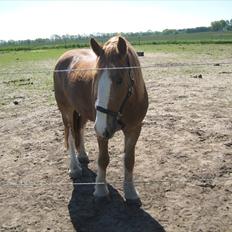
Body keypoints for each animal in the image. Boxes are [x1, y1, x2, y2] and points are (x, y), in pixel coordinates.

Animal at [54, 35, 149, 206]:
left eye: (120, 80)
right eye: (95, 77)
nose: (101, 127)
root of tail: (64, 57)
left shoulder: (134, 129)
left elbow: (129, 160)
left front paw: (131, 192)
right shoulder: (101, 132)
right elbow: (103, 159)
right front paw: (100, 191)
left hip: (83, 112)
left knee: (80, 130)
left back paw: (82, 155)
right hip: (66, 111)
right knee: (70, 136)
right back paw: (75, 168)